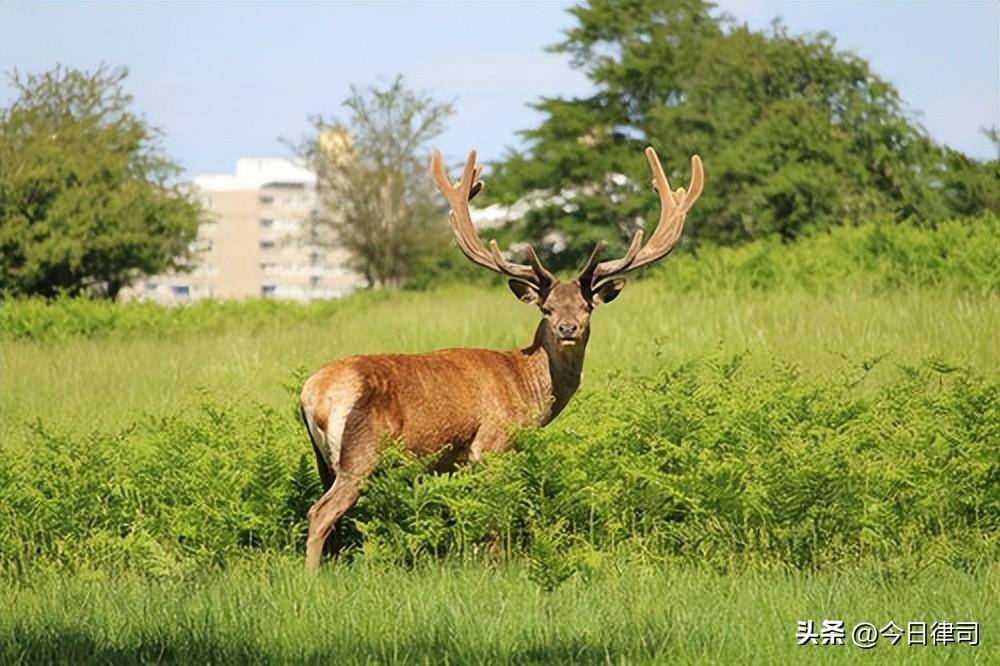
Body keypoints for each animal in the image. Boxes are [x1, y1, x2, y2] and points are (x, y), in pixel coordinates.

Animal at [296, 144, 704, 564]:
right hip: (362, 452)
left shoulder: (454, 462)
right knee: (321, 511)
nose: (567, 329)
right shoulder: (491, 444)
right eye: (547, 309)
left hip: (323, 459)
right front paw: (495, 561)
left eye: (586, 307)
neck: (526, 388)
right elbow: (494, 514)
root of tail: (314, 394)